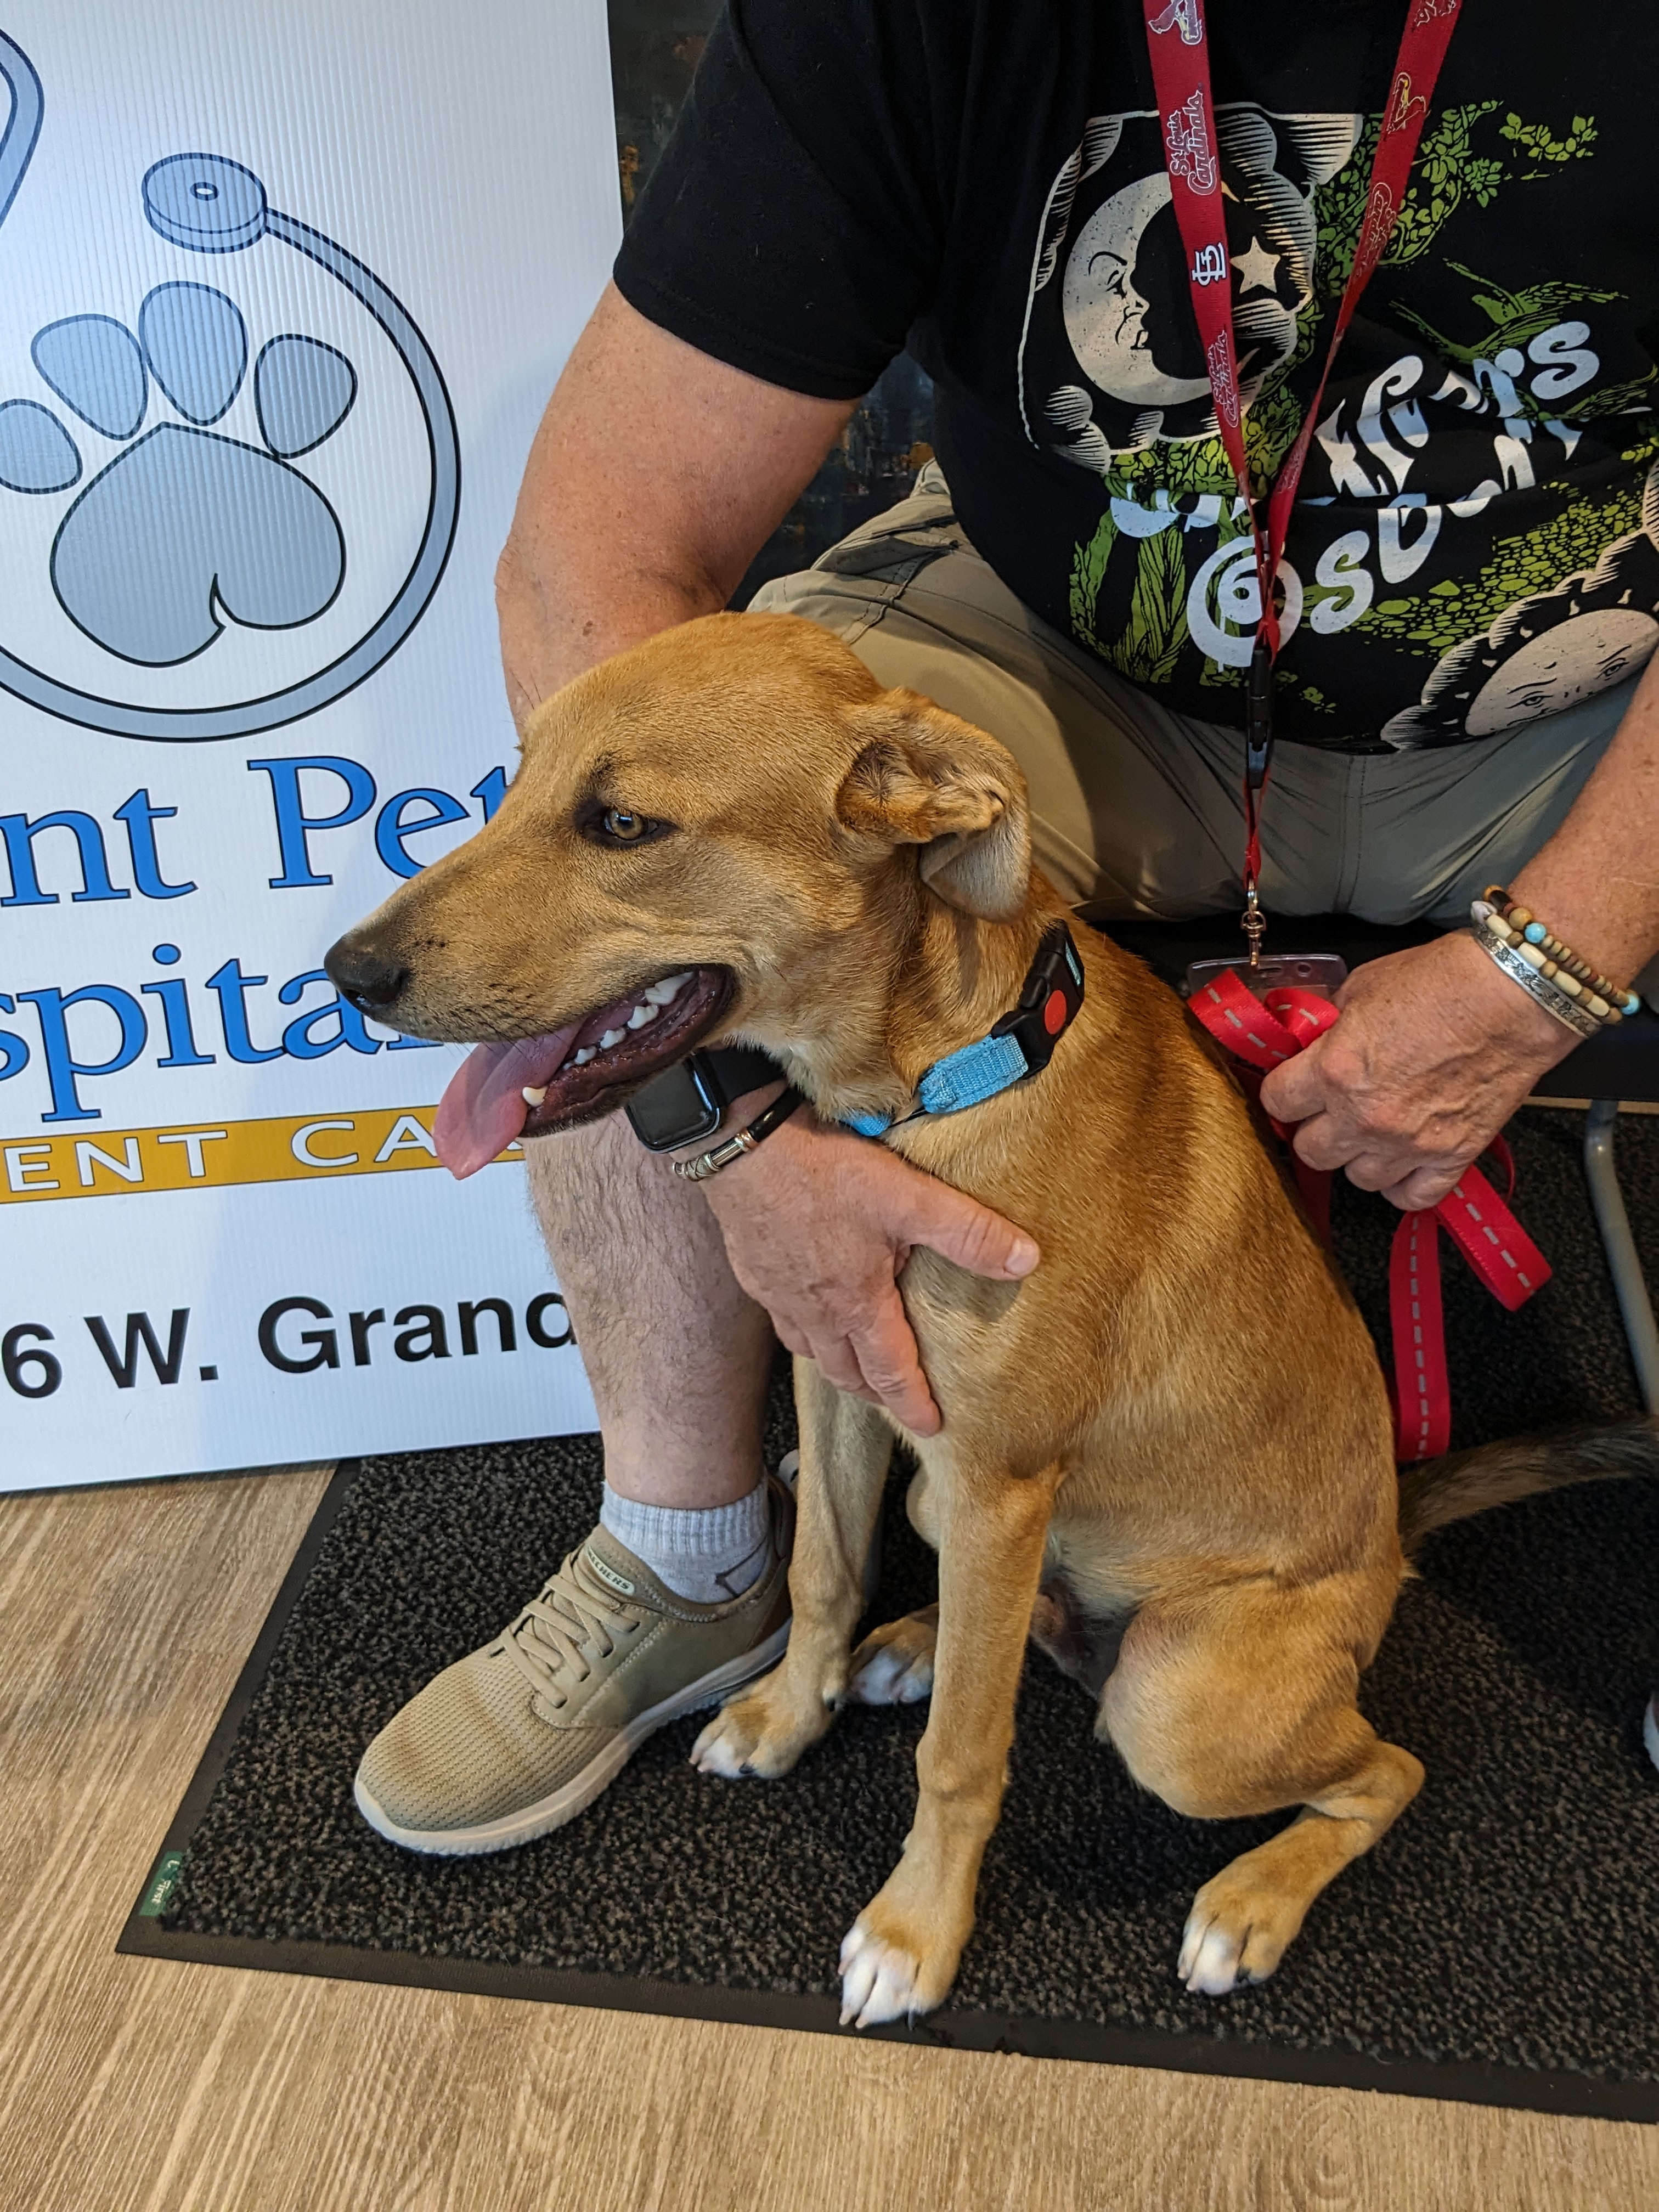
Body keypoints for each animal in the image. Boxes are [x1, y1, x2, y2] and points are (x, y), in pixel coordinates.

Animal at [331, 606, 1654, 2026]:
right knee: (1023, 1638)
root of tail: (1394, 1537)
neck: (932, 1084)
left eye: (623, 824)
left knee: (1380, 1768)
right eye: (515, 784)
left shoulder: (999, 1476)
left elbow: (963, 1749)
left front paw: (916, 1933)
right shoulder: (846, 1376)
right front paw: (789, 1712)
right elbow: (823, 1572)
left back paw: (1248, 1903)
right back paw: (914, 1647)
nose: (343, 973)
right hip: (954, 1513)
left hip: (1178, 1701)